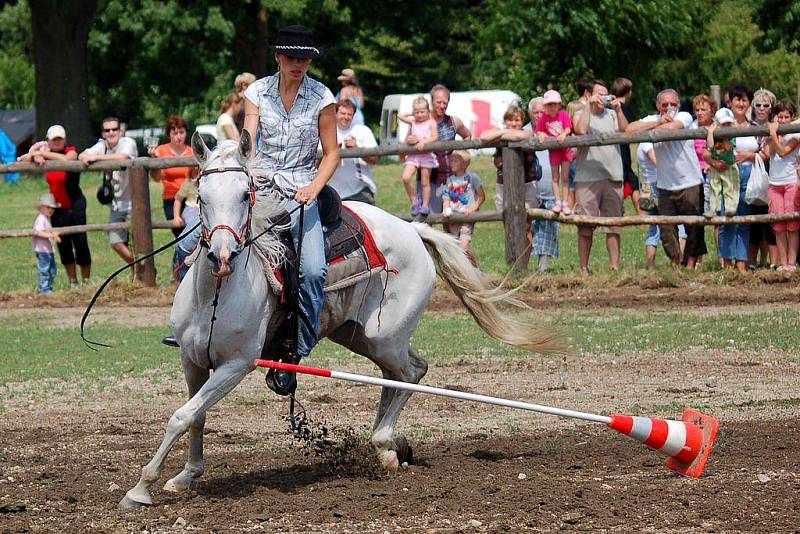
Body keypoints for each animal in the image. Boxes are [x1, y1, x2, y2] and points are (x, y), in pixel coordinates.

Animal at [120, 134, 564, 510]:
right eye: (202, 196)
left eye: (246, 194)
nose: (222, 255)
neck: (216, 295)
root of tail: (413, 230)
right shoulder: (193, 361)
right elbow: (195, 415)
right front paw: (186, 475)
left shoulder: (236, 365)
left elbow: (182, 416)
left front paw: (140, 489)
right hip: (361, 336)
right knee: (400, 373)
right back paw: (392, 444)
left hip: (384, 336)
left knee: (410, 373)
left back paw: (384, 442)